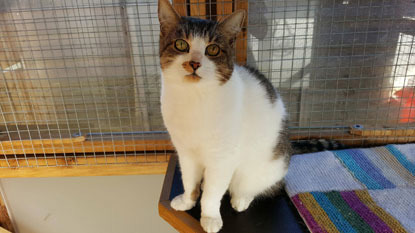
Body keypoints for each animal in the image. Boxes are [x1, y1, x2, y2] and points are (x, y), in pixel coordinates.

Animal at [158, 0, 292, 232]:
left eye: (212, 49)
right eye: (181, 45)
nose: (194, 63)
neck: (194, 100)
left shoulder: (223, 157)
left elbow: (213, 193)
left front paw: (210, 217)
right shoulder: (185, 152)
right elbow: (189, 181)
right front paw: (187, 201)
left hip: (265, 166)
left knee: (252, 185)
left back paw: (241, 198)